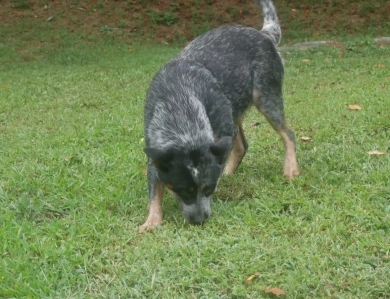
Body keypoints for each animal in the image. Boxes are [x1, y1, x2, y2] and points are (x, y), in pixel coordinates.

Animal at [139, 0, 298, 234]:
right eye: (182, 191)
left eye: (208, 189)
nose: (199, 220)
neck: (180, 103)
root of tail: (263, 34)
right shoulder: (156, 148)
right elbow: (154, 191)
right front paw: (152, 220)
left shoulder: (222, 132)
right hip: (235, 106)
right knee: (242, 145)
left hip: (265, 97)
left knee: (288, 134)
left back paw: (291, 168)